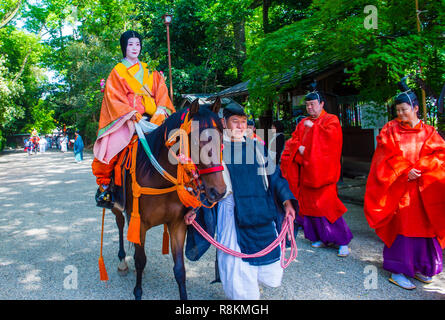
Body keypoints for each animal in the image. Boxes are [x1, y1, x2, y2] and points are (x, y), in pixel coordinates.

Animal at [109, 98, 227, 300]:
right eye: (196, 141)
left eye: (221, 139)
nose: (218, 191)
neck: (159, 177)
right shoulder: (140, 223)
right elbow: (140, 260)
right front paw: (138, 291)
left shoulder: (177, 223)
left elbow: (179, 269)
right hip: (117, 205)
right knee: (120, 224)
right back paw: (122, 260)